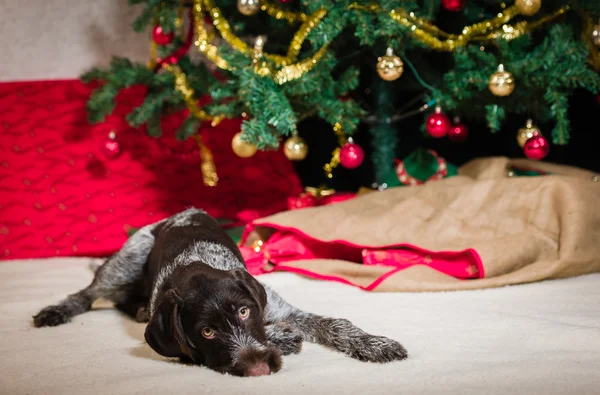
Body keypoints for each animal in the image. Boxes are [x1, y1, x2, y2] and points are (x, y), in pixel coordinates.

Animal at [32, 209, 408, 376]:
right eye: (207, 332)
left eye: (244, 311)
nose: (257, 368)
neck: (196, 263)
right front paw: (283, 339)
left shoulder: (278, 309)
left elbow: (337, 324)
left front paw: (376, 344)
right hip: (126, 261)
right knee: (87, 292)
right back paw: (56, 311)